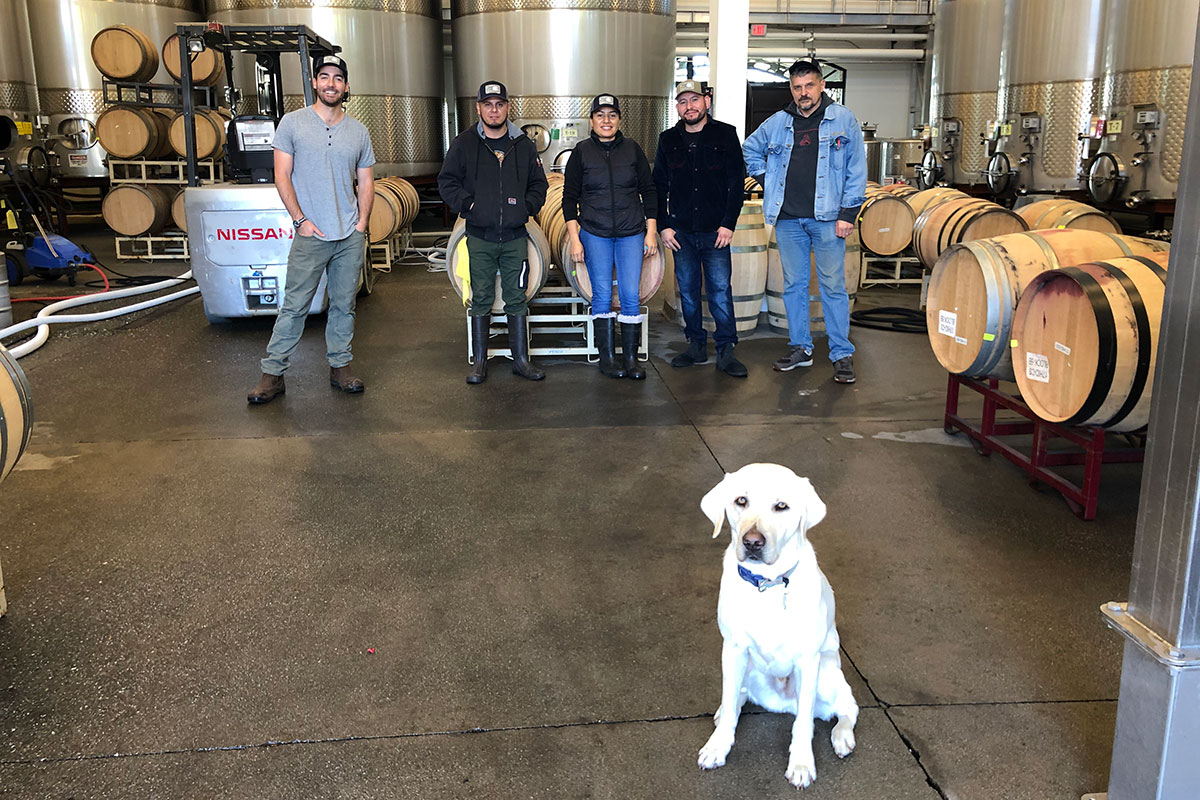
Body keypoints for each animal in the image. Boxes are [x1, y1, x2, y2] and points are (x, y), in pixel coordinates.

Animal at [700, 462, 859, 786]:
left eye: (781, 506)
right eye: (741, 501)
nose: (752, 542)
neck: (768, 584)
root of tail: (782, 704)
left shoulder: (808, 660)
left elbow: (804, 724)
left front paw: (801, 764)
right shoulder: (733, 648)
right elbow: (729, 698)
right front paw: (717, 746)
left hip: (826, 672)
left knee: (846, 707)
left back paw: (842, 736)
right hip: (746, 666)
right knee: (739, 695)